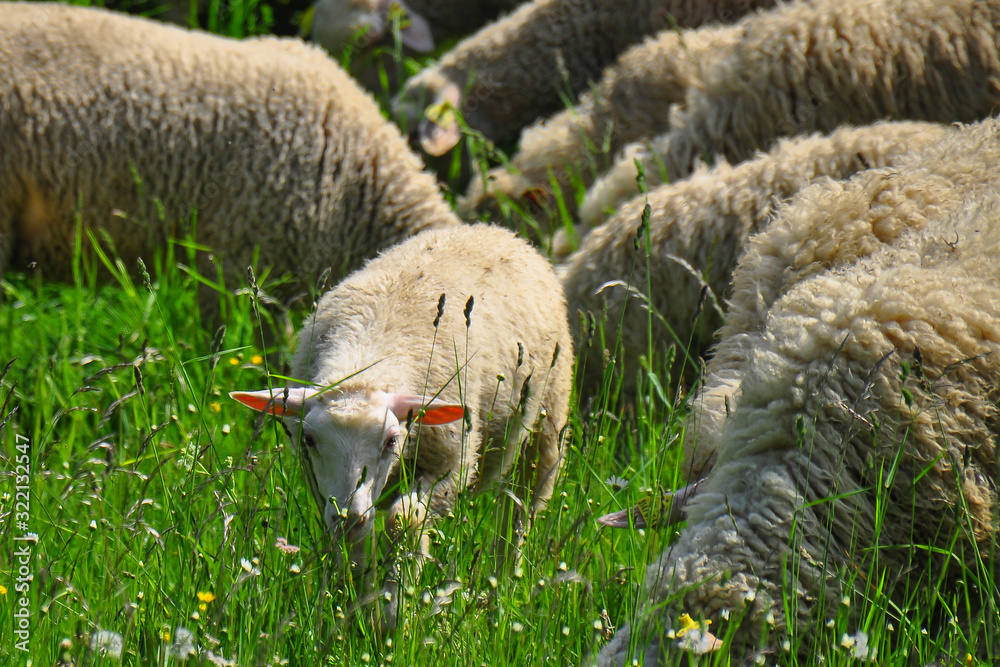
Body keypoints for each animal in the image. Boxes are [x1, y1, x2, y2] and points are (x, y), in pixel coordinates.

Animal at [231, 223, 574, 623]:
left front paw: (394, 612)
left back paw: (499, 590)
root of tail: (493, 230)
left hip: (546, 426)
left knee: (518, 515)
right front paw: (354, 611)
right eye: (310, 441)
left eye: (392, 440)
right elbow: (352, 546)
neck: (363, 361)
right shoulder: (322, 486)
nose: (349, 516)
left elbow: (404, 521)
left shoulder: (449, 466)